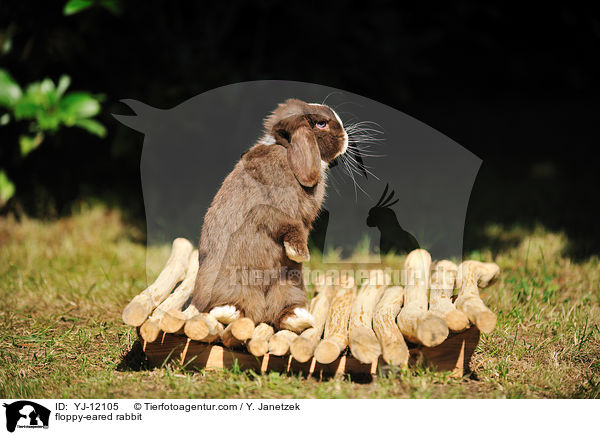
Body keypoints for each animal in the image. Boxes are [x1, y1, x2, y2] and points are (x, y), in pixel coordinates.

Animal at [190, 99, 350, 332]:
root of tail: (261, 310)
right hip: (232, 282)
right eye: (321, 124)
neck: (287, 152)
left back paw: (298, 318)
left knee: (281, 310)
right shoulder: (271, 210)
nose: (346, 137)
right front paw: (300, 254)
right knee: (235, 305)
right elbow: (289, 226)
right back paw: (228, 312)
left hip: (290, 284)